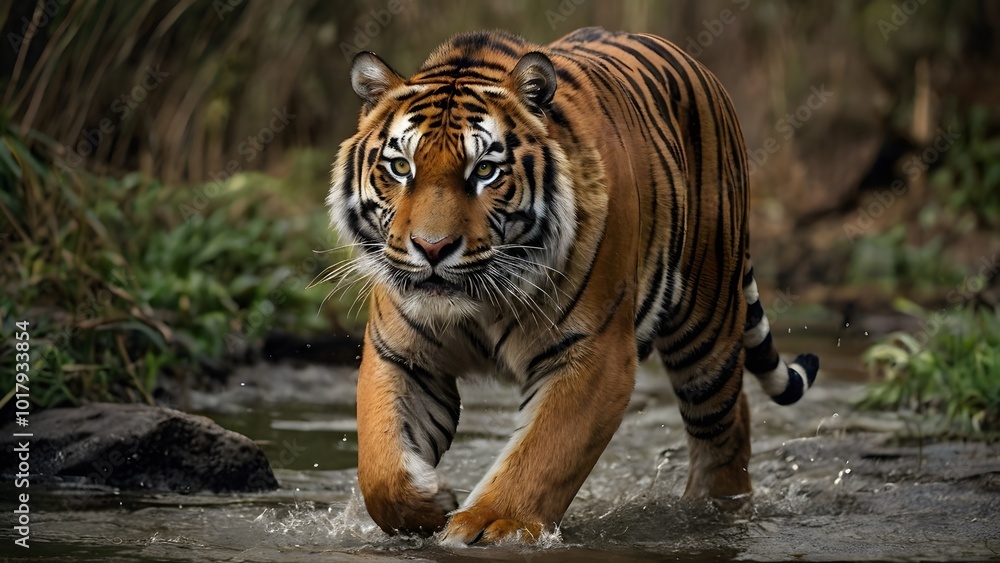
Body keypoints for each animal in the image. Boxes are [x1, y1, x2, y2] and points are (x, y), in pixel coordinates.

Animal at [326, 27, 819, 544]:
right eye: (401, 168)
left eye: (485, 171)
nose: (432, 247)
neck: (479, 305)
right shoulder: (399, 353)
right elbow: (380, 468)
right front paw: (430, 505)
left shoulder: (595, 353)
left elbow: (543, 453)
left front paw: (491, 523)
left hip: (707, 327)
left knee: (726, 429)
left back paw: (713, 515)